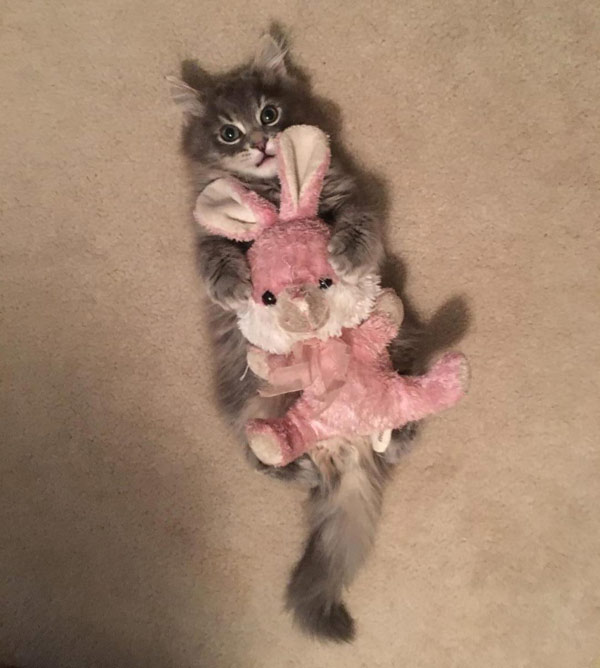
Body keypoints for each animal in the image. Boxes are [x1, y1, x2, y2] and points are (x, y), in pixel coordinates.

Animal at [169, 32, 418, 640]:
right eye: (228, 132)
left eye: (269, 114)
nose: (261, 145)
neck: (269, 191)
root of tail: (342, 450)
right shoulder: (203, 231)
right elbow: (213, 255)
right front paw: (233, 284)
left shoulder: (352, 194)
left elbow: (358, 221)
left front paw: (344, 252)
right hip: (254, 406)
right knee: (260, 454)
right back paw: (298, 466)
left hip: (395, 346)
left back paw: (396, 433)